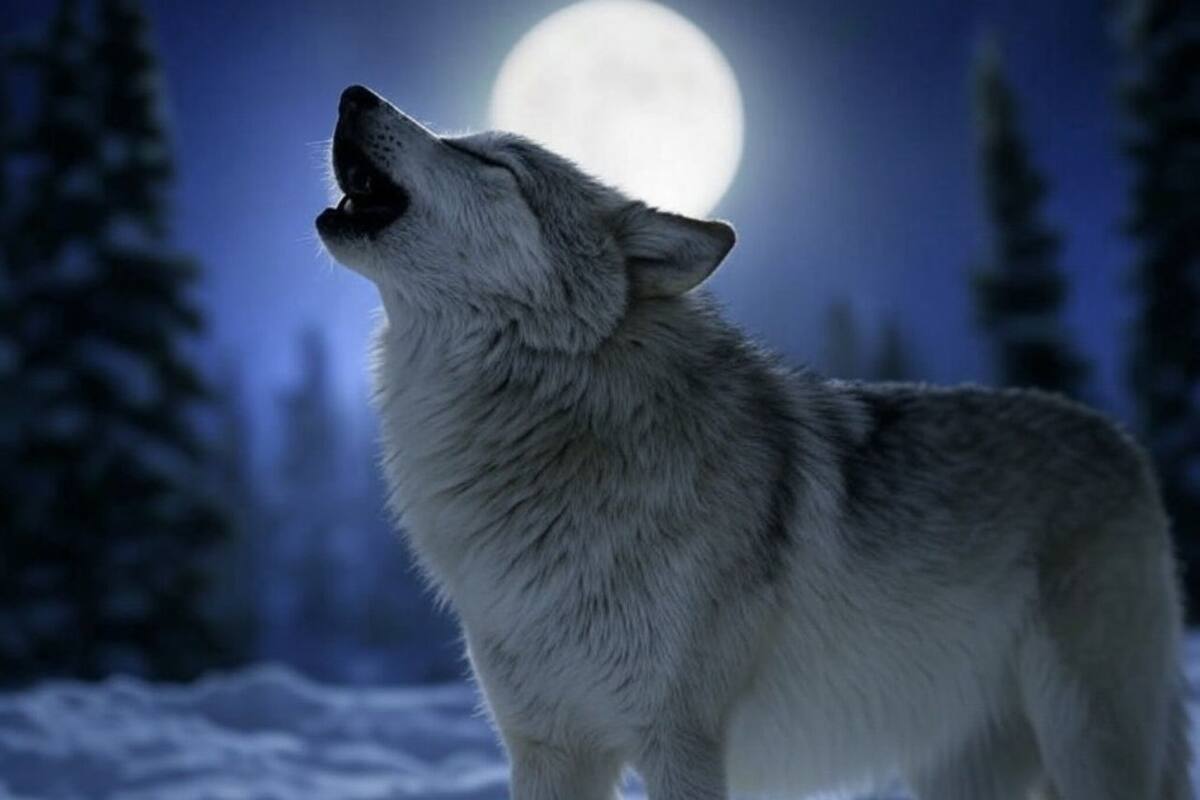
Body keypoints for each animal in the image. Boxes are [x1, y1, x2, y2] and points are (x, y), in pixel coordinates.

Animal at [316, 84, 1193, 800]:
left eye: (487, 159)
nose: (353, 95)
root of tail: (1123, 440)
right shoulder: (548, 749)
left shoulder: (682, 743)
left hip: (1088, 739)